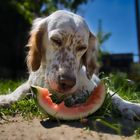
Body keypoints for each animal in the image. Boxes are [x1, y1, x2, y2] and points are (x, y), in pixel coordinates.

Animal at [0, 10, 140, 120]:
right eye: (56, 40)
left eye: (82, 47)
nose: (67, 82)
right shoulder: (31, 83)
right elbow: (20, 89)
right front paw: (6, 98)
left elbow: (112, 98)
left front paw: (129, 106)